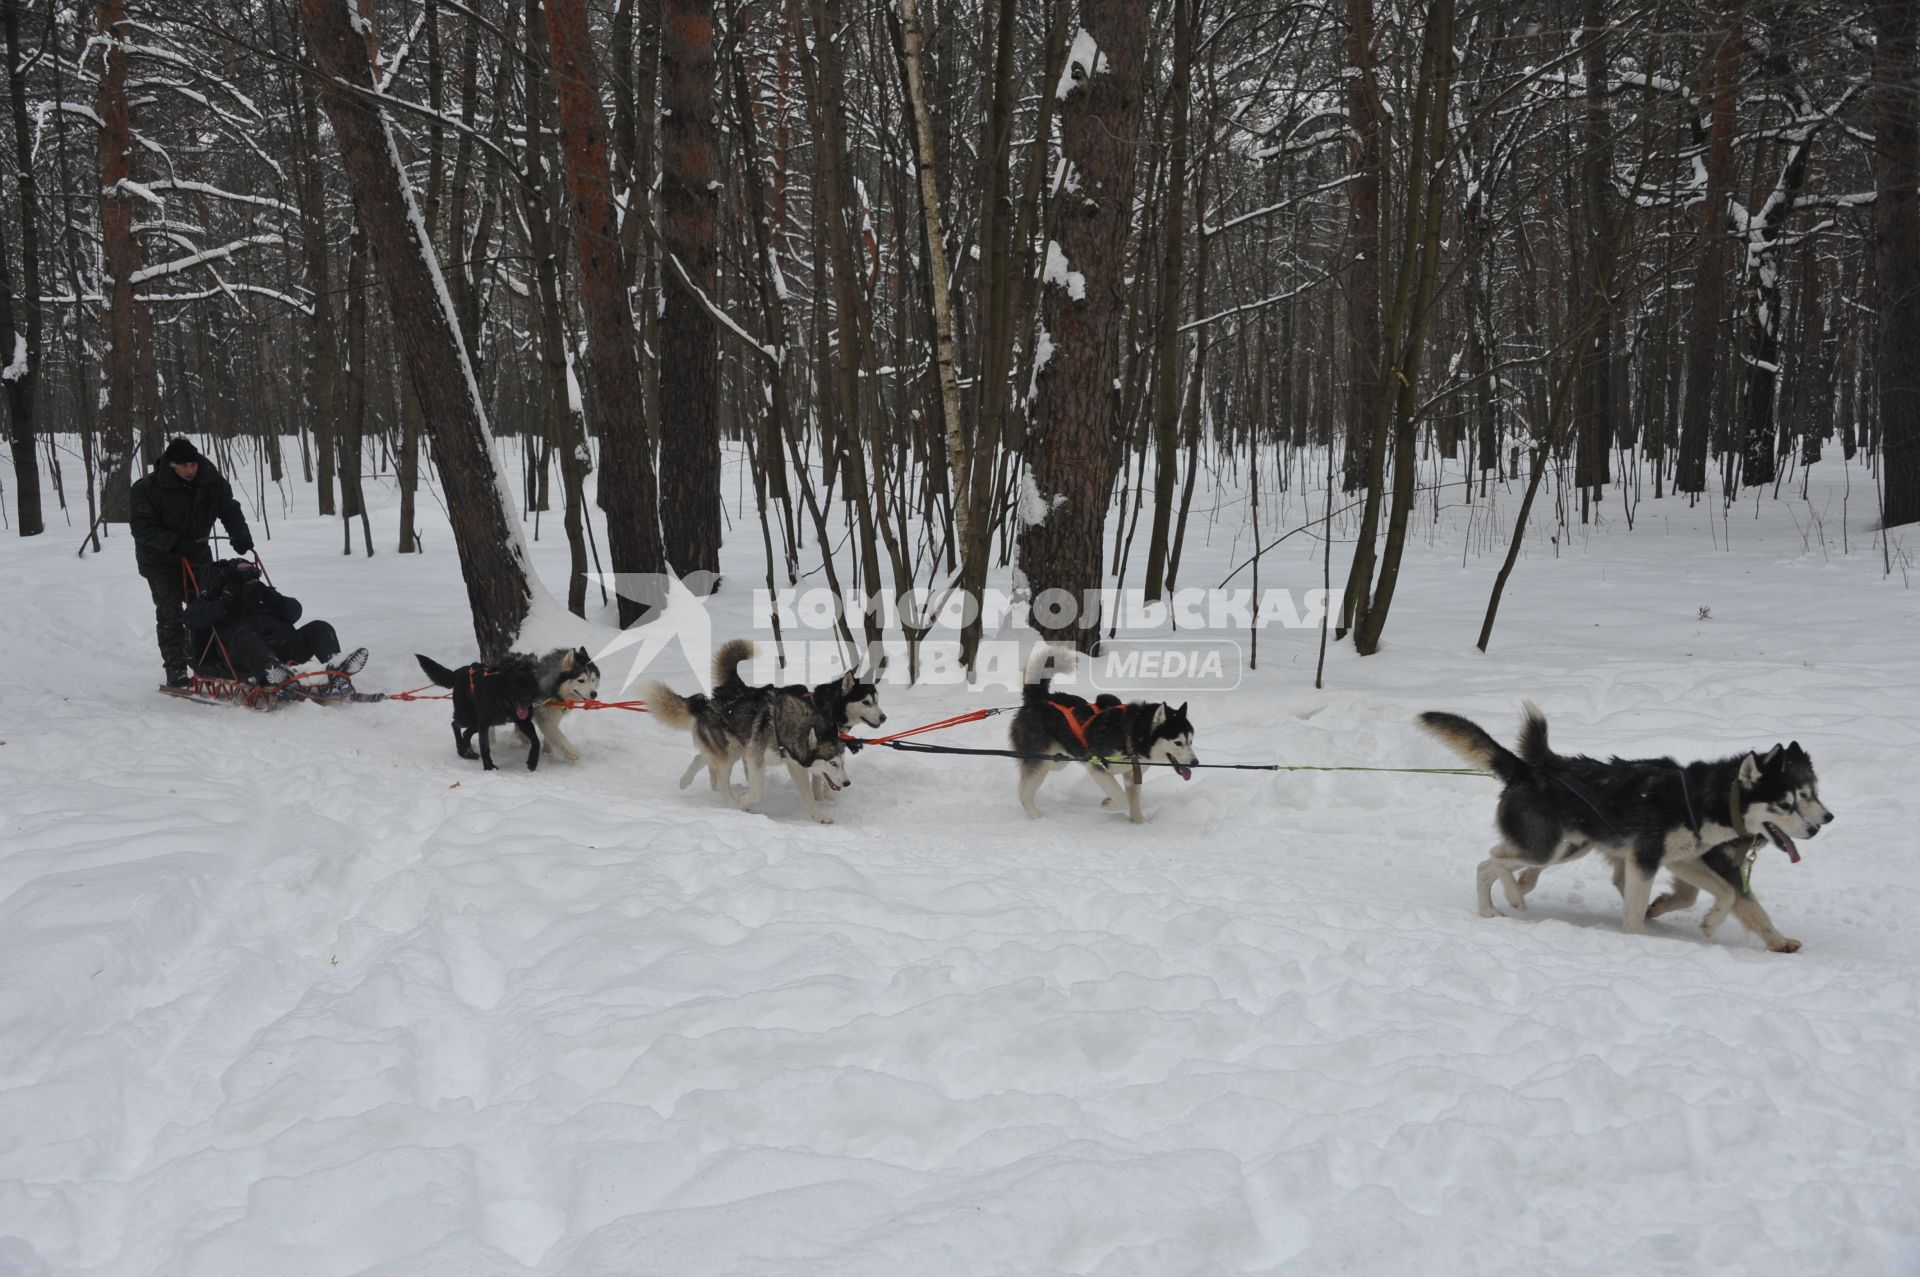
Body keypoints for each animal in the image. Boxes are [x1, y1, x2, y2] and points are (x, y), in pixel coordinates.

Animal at [645, 672, 848, 821]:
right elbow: (756, 792)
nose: (847, 783)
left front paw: (820, 816)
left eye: (843, 762)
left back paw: (685, 780)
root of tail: (704, 704)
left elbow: (808, 797)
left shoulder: (794, 765)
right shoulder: (754, 758)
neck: (782, 724)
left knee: (700, 758)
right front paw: (743, 800)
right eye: (833, 763)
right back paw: (735, 805)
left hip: (734, 749)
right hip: (728, 756)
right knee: (722, 785)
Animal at [683, 637, 890, 798]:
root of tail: (736, 687)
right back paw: (688, 780)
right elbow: (819, 779)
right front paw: (822, 799)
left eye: (877, 700)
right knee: (705, 758)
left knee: (703, 757)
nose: (883, 717)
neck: (824, 707)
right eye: (866, 702)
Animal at [1013, 641, 1190, 821]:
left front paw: (1140, 824)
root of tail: (1039, 699)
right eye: (1178, 742)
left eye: (1191, 741)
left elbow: (1134, 806)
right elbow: (1121, 797)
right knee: (1023, 793)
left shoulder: (1132, 776)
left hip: (1056, 760)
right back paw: (1037, 817)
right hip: (1039, 761)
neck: (1131, 733)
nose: (1195, 762)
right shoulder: (1096, 766)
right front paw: (1108, 804)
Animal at [1420, 706, 1835, 944]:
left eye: (1806, 797)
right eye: (1786, 804)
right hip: (1547, 848)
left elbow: (1727, 895)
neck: (1700, 801)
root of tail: (1527, 769)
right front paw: (1641, 938)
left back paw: (1496, 906)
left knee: (1496, 861)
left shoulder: (1683, 860)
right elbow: (1636, 912)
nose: (1817, 828)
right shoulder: (1646, 859)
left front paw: (1711, 923)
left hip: (1564, 849)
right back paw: (1507, 900)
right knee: (1488, 861)